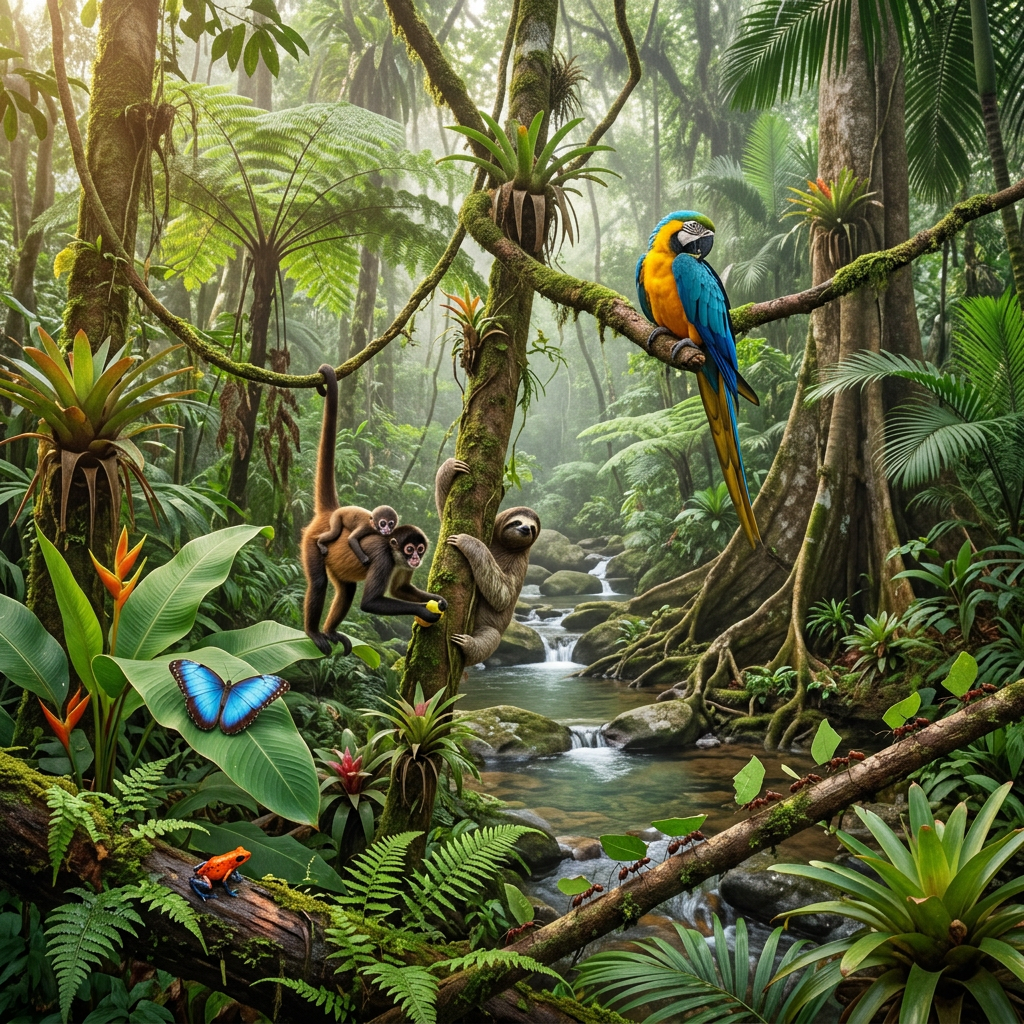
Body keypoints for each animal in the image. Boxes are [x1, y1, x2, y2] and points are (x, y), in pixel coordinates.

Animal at [302, 365, 445, 655]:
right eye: (409, 549)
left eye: (420, 549)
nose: (416, 559)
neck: (394, 550)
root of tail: (331, 514)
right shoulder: (384, 559)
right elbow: (370, 602)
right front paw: (425, 611)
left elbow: (401, 589)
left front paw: (439, 600)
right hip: (312, 543)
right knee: (321, 582)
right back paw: (314, 632)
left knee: (346, 590)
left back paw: (330, 631)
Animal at [435, 458, 540, 665]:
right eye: (517, 522)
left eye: (532, 527)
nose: (525, 528)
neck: (504, 545)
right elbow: (445, 517)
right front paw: (451, 467)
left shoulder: (520, 562)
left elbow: (503, 595)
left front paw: (467, 541)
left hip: (492, 632)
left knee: (490, 635)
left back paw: (468, 644)